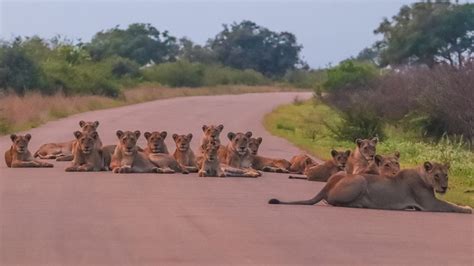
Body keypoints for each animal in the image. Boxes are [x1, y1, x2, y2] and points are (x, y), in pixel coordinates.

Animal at [268, 161, 472, 215]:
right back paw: (360, 204)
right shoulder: (429, 204)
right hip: (360, 179)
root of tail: (326, 187)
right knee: (333, 202)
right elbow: (451, 206)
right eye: (436, 175)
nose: (444, 186)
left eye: (446, 175)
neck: (423, 175)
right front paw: (468, 208)